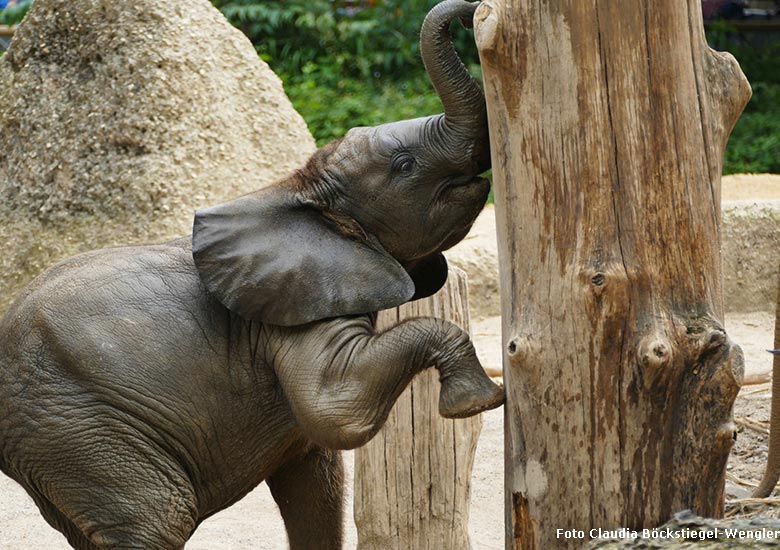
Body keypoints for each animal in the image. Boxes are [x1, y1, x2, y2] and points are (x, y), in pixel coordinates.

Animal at [0, 1, 502, 550]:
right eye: (405, 164)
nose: (470, 11)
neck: (299, 188)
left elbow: (319, 486)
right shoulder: (290, 316)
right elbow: (337, 411)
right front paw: (477, 402)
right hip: (77, 425)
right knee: (156, 517)